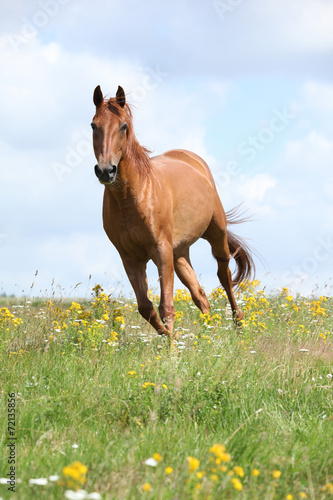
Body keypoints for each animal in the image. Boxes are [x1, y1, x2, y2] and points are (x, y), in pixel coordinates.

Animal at [91, 86, 254, 338]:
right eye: (94, 125)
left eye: (123, 126)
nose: (106, 171)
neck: (132, 196)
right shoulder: (130, 257)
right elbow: (146, 307)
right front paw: (173, 338)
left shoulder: (161, 250)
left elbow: (166, 306)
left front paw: (172, 347)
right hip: (179, 254)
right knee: (200, 295)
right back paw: (209, 335)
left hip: (216, 235)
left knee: (225, 277)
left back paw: (238, 324)